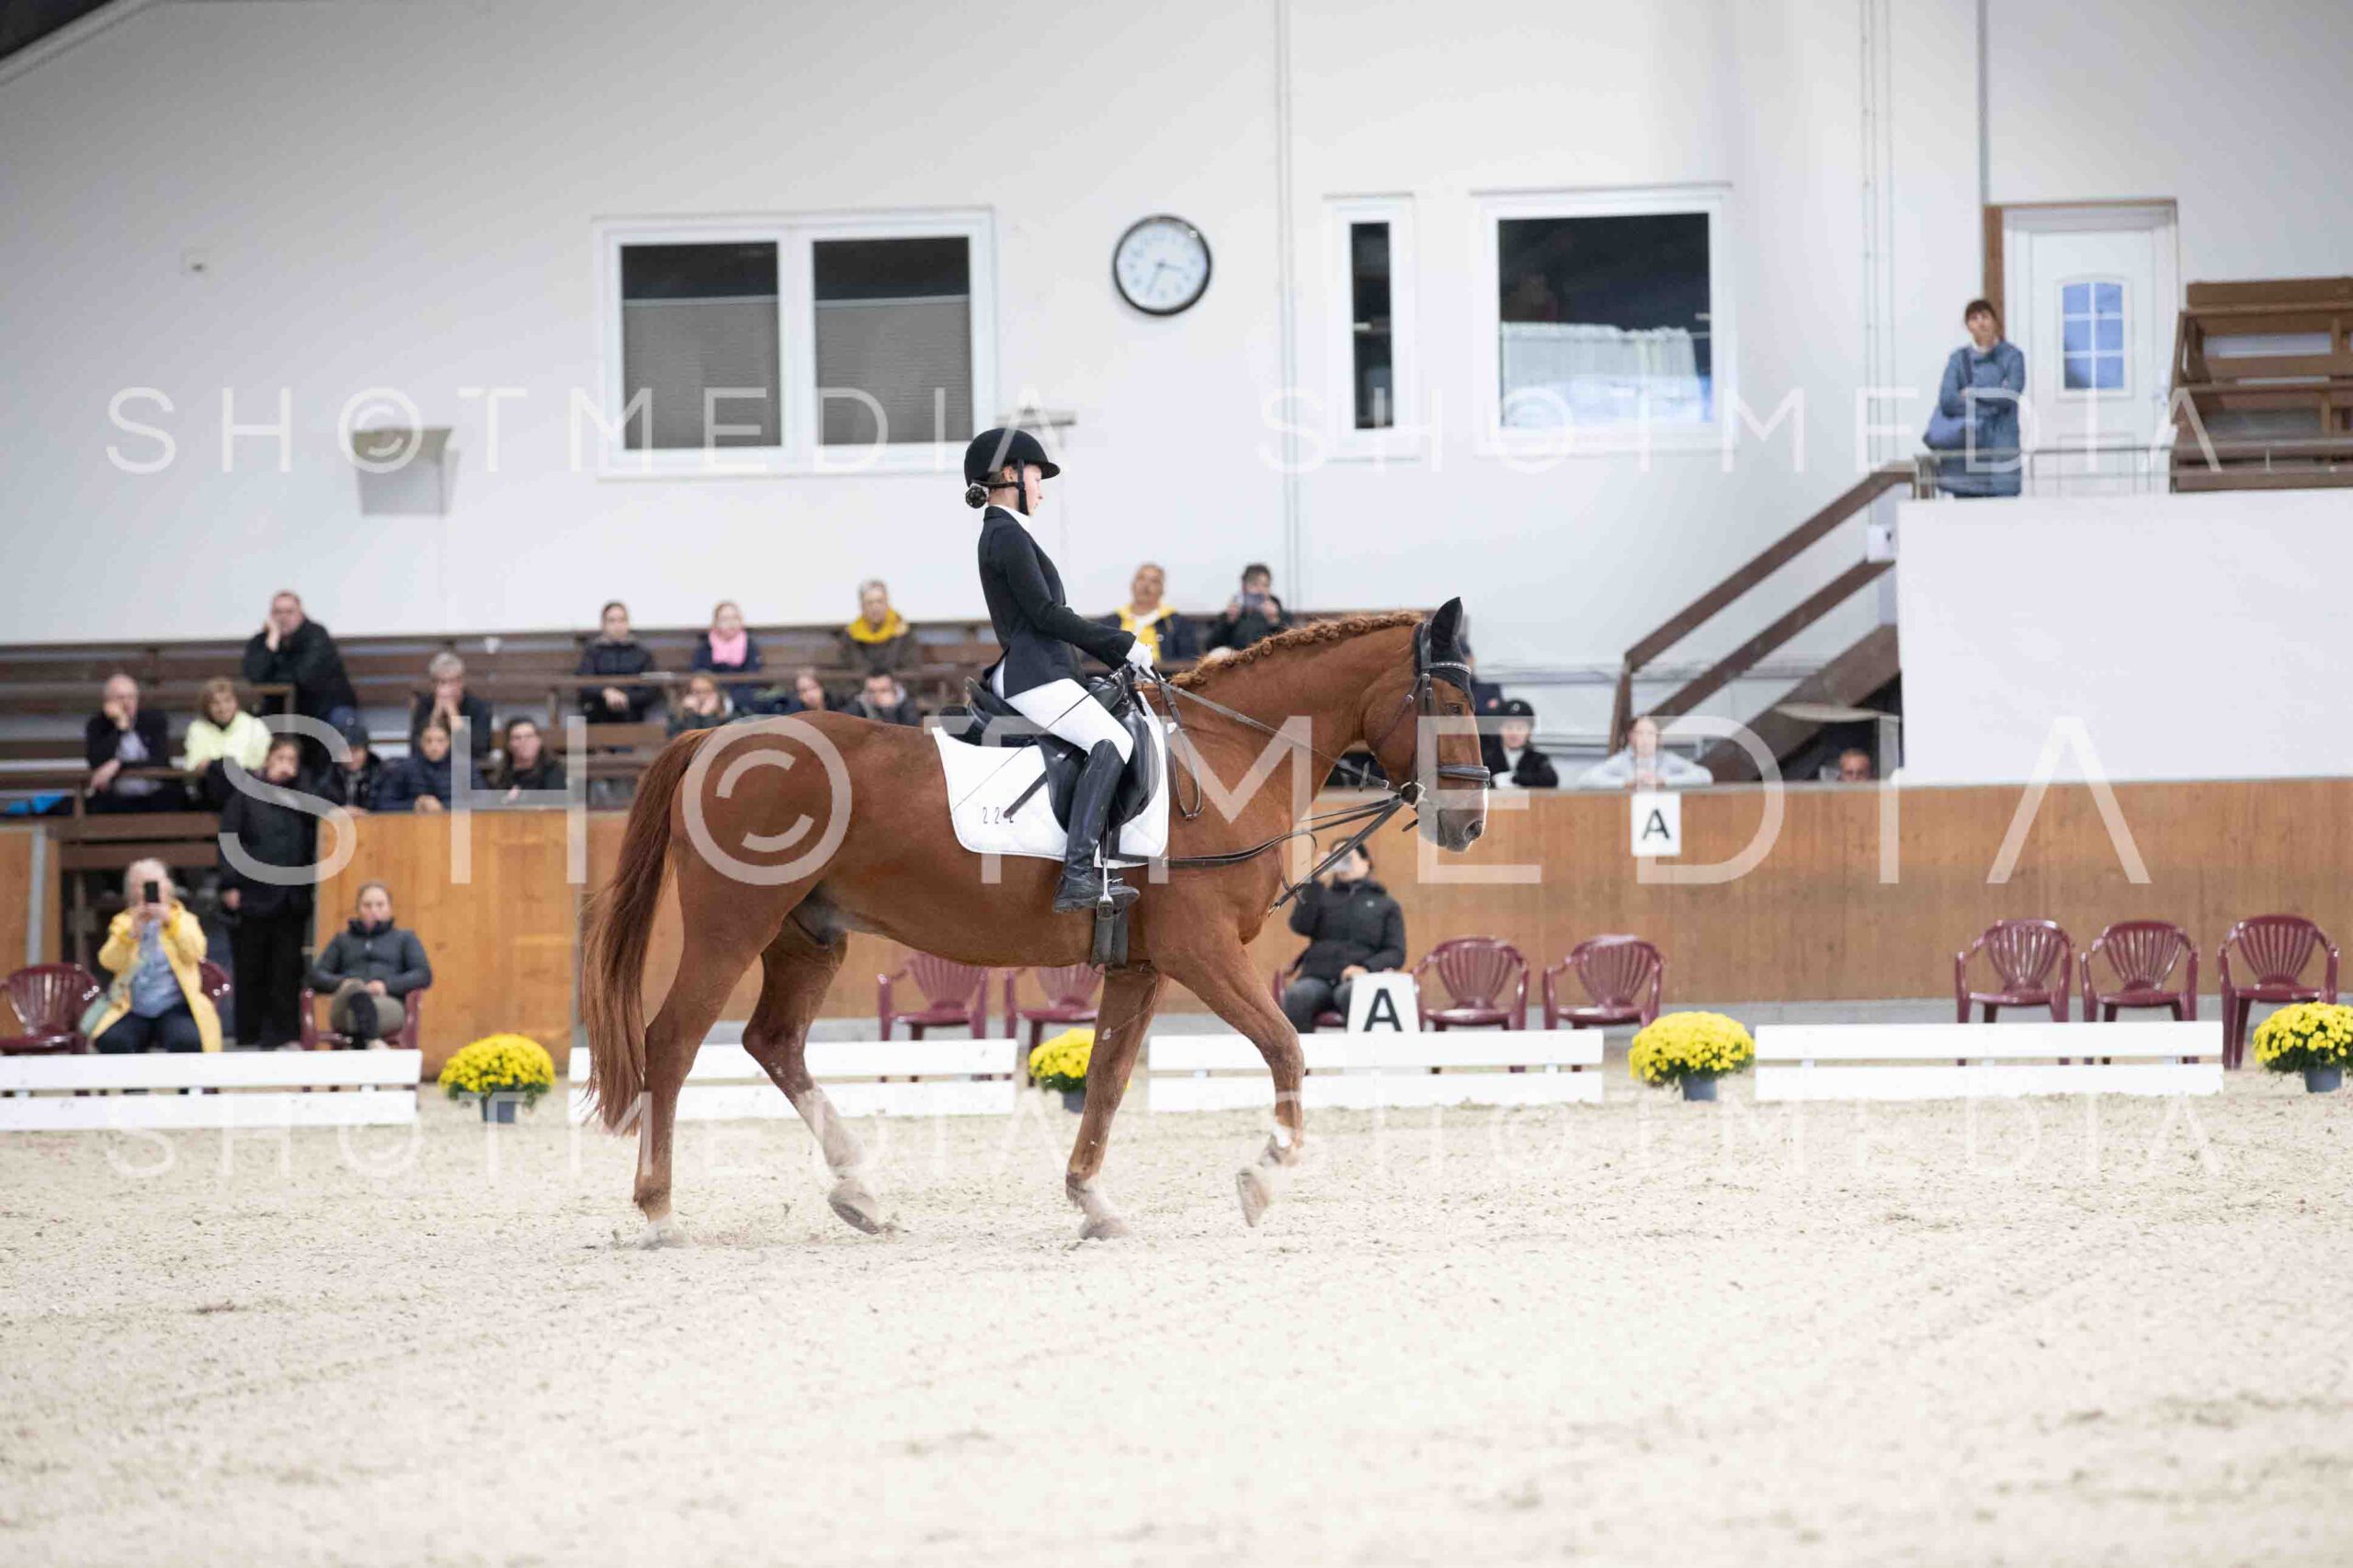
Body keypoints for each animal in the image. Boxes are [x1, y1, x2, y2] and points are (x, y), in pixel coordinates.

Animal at [578, 598, 1489, 1244]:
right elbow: (1286, 1046)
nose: (1471, 823)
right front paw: (1263, 1179)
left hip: (810, 937)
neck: (1224, 762)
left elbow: (1109, 1079)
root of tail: (713, 738)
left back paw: (861, 1194)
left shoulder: (1142, 964)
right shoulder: (1200, 953)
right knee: (673, 1043)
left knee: (774, 1043)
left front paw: (1094, 1203)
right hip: (734, 926)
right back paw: (660, 1212)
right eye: (1445, 699)